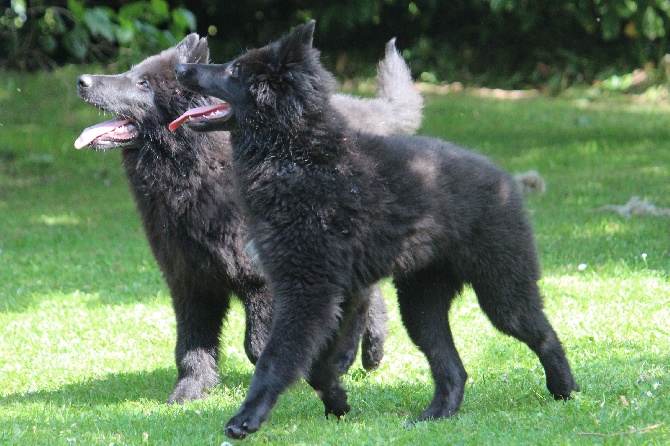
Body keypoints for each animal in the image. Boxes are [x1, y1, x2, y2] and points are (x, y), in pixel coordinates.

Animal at [176, 21, 580, 440]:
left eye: (234, 71)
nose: (180, 69)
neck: (295, 155)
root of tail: (504, 179)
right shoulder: (337, 294)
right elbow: (318, 365)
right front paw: (337, 400)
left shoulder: (308, 293)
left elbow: (275, 360)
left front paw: (247, 418)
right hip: (421, 307)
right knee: (453, 369)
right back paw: (435, 415)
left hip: (502, 294)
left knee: (544, 335)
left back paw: (565, 390)